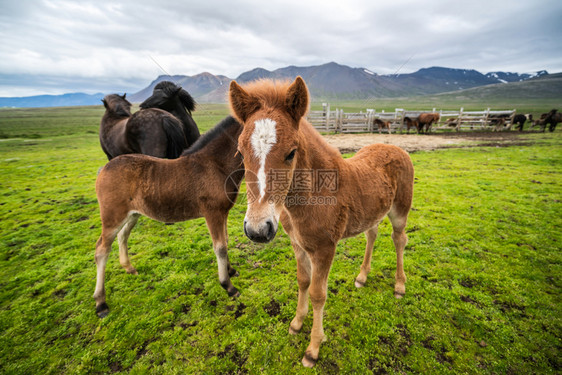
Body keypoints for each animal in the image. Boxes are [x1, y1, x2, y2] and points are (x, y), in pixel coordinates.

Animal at [92, 116, 243, 318]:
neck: (215, 165)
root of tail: (104, 169)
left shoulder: (223, 212)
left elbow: (225, 241)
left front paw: (231, 270)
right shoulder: (213, 213)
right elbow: (220, 247)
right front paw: (228, 286)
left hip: (133, 214)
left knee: (123, 235)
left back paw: (129, 268)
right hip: (112, 216)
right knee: (101, 250)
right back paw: (101, 302)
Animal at [229, 76, 416, 368]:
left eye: (291, 153)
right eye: (240, 152)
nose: (258, 230)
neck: (313, 195)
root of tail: (395, 147)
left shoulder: (325, 248)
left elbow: (319, 294)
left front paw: (313, 348)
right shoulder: (298, 245)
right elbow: (302, 281)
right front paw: (296, 323)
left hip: (400, 211)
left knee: (399, 240)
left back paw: (399, 286)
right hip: (373, 212)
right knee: (372, 234)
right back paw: (362, 277)